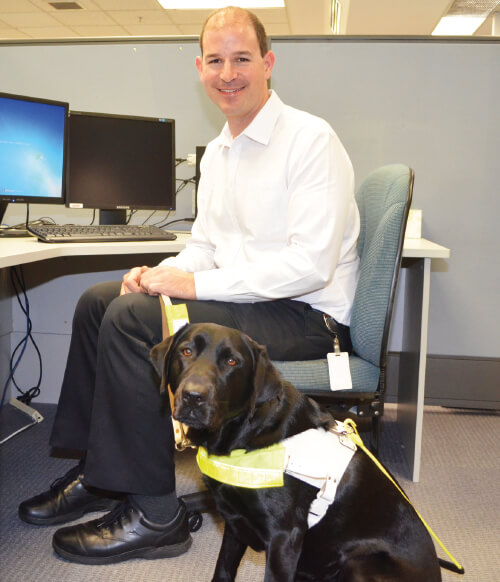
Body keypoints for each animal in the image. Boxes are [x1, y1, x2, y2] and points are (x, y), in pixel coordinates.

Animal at [150, 324, 440, 582]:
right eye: (186, 351)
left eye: (232, 361)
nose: (193, 396)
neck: (244, 433)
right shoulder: (234, 524)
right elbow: (223, 570)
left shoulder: (283, 537)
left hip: (360, 563)